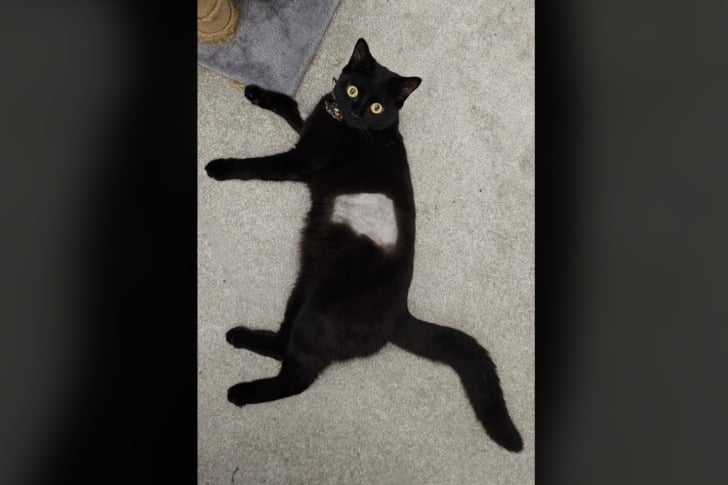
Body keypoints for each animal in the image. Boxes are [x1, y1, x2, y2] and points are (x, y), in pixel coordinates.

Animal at [204, 38, 523, 452]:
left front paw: (219, 167)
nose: (355, 110)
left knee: (297, 378)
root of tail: (399, 315)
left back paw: (241, 392)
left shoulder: (300, 162)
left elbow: (259, 165)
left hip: (317, 315)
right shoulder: (310, 131)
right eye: (353, 90)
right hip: (302, 294)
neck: (342, 122)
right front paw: (259, 93)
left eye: (376, 108)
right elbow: (292, 107)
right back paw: (239, 336)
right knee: (281, 344)